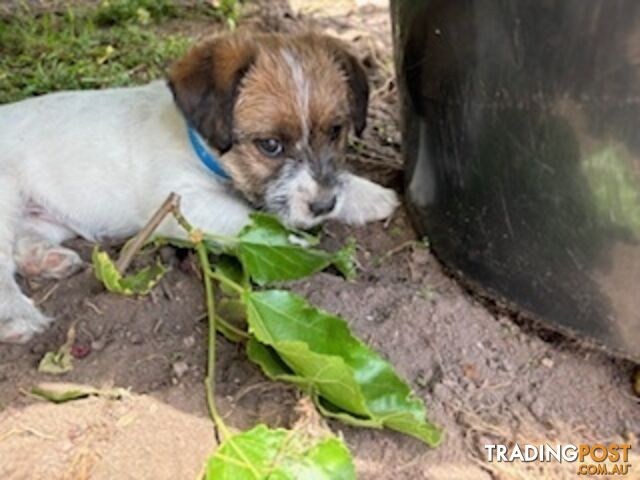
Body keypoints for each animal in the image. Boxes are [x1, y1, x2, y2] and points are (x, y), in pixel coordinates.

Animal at [0, 31, 400, 344]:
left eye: (335, 132)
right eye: (270, 145)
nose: (324, 206)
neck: (200, 147)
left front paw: (368, 195)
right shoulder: (184, 205)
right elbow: (248, 218)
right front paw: (295, 246)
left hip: (45, 219)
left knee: (21, 244)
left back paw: (45, 259)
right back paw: (16, 316)